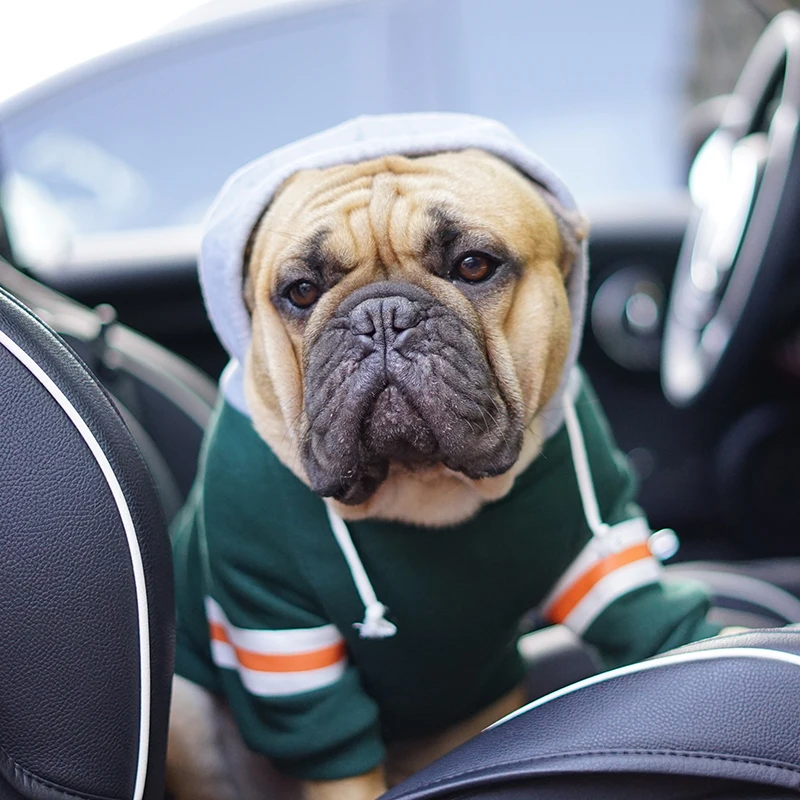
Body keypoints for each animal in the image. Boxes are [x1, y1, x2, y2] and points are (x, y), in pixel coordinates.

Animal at [167, 115, 720, 800]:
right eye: (300, 291)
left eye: (474, 265)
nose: (381, 316)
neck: (424, 486)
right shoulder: (284, 640)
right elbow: (338, 754)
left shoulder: (604, 549)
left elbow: (646, 618)